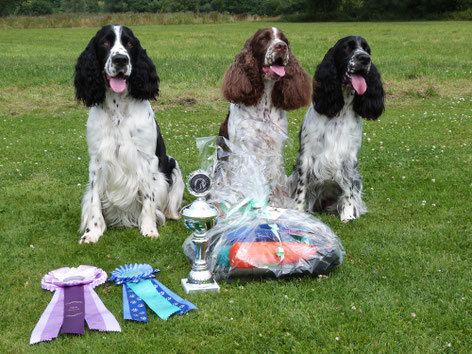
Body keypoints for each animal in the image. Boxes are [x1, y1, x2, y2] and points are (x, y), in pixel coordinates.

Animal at [74, 23, 184, 242]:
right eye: (105, 42)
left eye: (130, 43)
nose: (120, 59)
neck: (118, 110)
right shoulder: (97, 160)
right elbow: (94, 200)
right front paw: (92, 232)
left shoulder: (147, 160)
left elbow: (149, 199)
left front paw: (149, 230)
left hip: (174, 167)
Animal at [294, 37, 386, 223]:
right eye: (347, 48)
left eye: (367, 49)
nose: (364, 58)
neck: (339, 111)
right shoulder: (306, 155)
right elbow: (301, 187)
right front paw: (297, 211)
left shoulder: (349, 158)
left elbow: (348, 188)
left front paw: (348, 214)